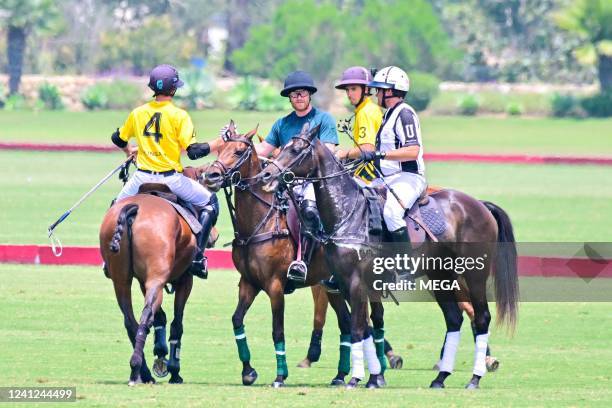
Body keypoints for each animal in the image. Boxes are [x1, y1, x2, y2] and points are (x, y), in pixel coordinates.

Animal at [203, 124, 376, 388]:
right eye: (220, 148)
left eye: (239, 151)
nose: (210, 176)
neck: (258, 223)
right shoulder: (248, 283)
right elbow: (236, 320)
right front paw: (248, 371)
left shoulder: (274, 285)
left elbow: (278, 330)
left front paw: (279, 376)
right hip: (333, 286)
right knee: (347, 323)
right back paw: (340, 375)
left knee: (365, 321)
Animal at [260, 124, 520, 388]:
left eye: (296, 150)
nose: (267, 176)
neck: (346, 212)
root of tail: (481, 205)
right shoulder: (343, 282)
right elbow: (364, 328)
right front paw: (373, 377)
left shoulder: (356, 282)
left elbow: (358, 328)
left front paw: (356, 378)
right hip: (440, 275)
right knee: (454, 319)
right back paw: (440, 377)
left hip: (474, 273)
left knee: (482, 317)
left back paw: (475, 378)